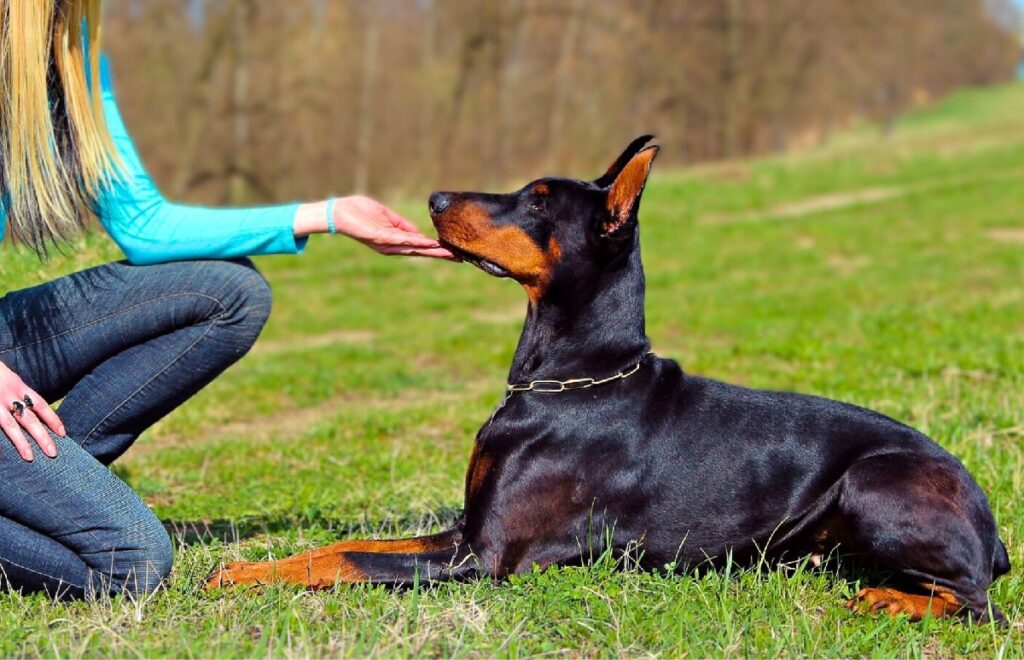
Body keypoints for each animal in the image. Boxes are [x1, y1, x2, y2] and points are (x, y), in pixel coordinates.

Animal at [207, 138, 1007, 622]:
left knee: (979, 600)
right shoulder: (466, 529)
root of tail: (991, 527)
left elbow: (348, 559)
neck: (573, 379)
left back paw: (891, 600)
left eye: (536, 199)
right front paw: (240, 570)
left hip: (874, 482)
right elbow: (331, 550)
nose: (433, 198)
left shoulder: (485, 558)